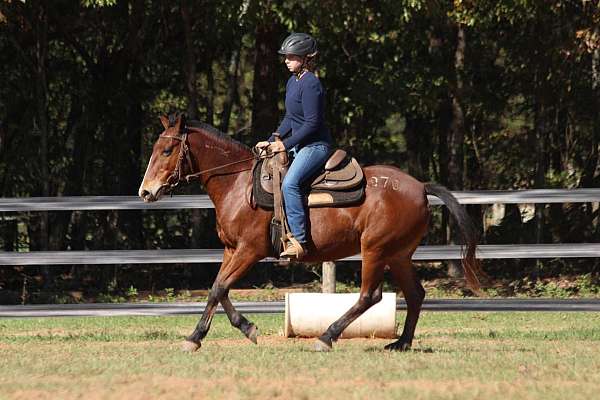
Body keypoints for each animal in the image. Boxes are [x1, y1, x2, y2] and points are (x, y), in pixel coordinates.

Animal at [137, 114, 482, 352]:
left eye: (167, 150)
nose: (145, 191)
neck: (237, 183)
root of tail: (420, 187)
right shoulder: (231, 250)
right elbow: (218, 290)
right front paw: (222, 332)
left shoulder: (249, 251)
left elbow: (219, 288)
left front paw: (207, 336)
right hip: (398, 255)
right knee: (415, 294)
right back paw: (401, 343)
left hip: (375, 250)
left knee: (370, 296)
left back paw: (327, 337)